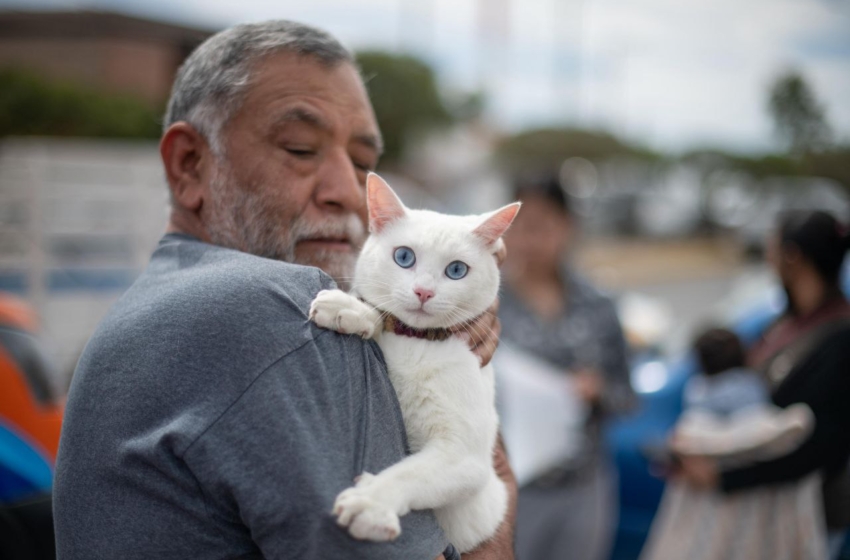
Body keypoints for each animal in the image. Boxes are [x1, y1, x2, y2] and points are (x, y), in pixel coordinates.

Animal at [306, 172, 512, 552]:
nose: (423, 292)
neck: (416, 346)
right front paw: (350, 309)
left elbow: (410, 473)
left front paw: (371, 503)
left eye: (456, 270)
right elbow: (383, 318)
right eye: (404, 257)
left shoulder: (463, 457)